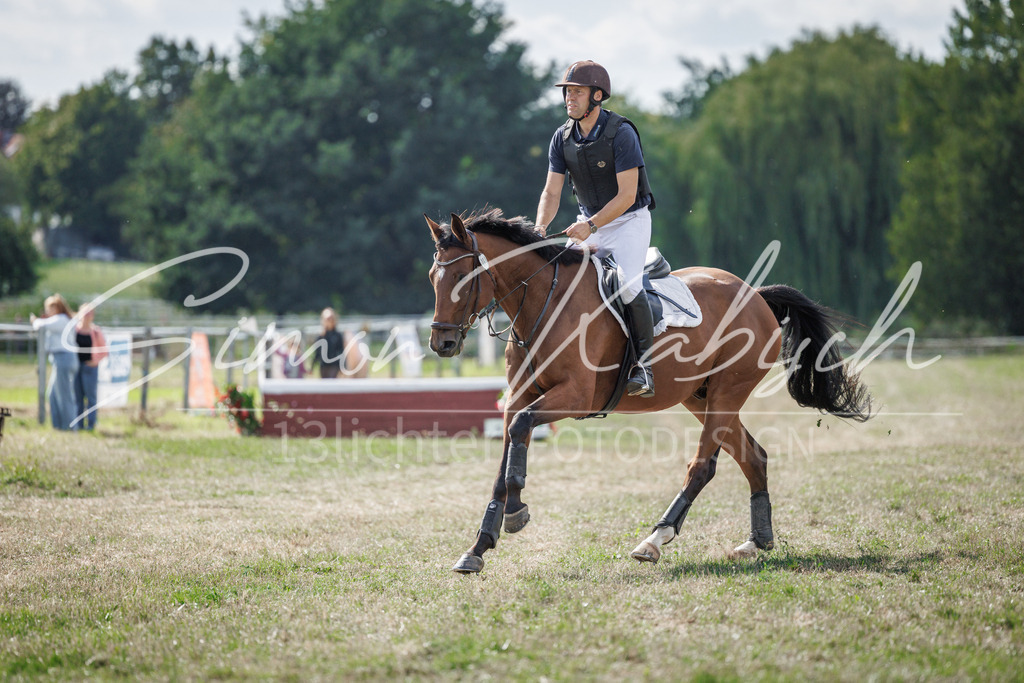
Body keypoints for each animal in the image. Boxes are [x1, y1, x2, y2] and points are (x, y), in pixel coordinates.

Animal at [426, 209, 871, 574]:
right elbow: (503, 464)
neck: (542, 303)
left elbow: (520, 431)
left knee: (703, 466)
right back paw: (756, 542)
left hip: (727, 392)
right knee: (753, 456)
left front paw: (517, 512)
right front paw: (478, 548)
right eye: (434, 278)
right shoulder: (517, 398)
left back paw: (655, 539)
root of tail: (755, 295)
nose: (441, 344)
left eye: (463, 279)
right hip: (700, 397)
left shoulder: (574, 397)